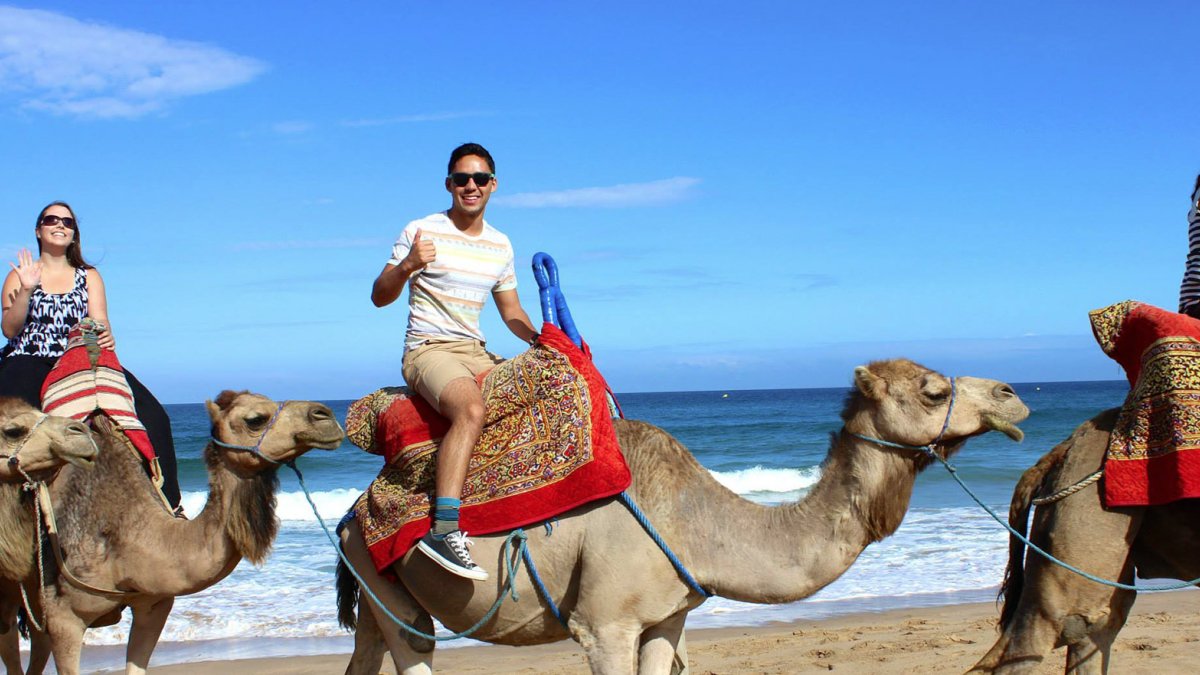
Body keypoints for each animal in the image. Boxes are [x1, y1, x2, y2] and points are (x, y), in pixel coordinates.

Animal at [340, 357, 1032, 667]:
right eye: (934, 391)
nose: (1013, 395)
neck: (696, 523)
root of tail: (354, 511)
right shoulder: (604, 623)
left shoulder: (666, 619)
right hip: (386, 577)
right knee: (413, 643)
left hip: (372, 588)